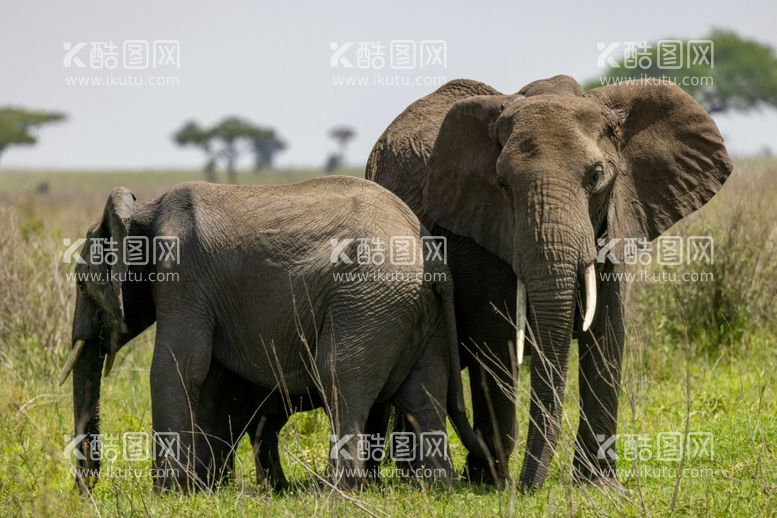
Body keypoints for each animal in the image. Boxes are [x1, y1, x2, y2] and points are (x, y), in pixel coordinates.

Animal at [62, 178, 484, 492]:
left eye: (82, 285)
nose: (87, 489)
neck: (142, 211)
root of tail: (432, 253)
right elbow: (209, 378)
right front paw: (201, 489)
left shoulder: (182, 277)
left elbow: (176, 366)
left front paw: (169, 494)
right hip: (415, 310)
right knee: (424, 395)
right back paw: (435, 488)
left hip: (368, 299)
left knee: (338, 378)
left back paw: (337, 493)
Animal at [366, 75, 732, 494]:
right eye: (501, 183)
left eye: (596, 177)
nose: (527, 487)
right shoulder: (478, 234)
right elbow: (497, 338)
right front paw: (492, 483)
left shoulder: (614, 221)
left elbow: (608, 333)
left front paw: (600, 488)